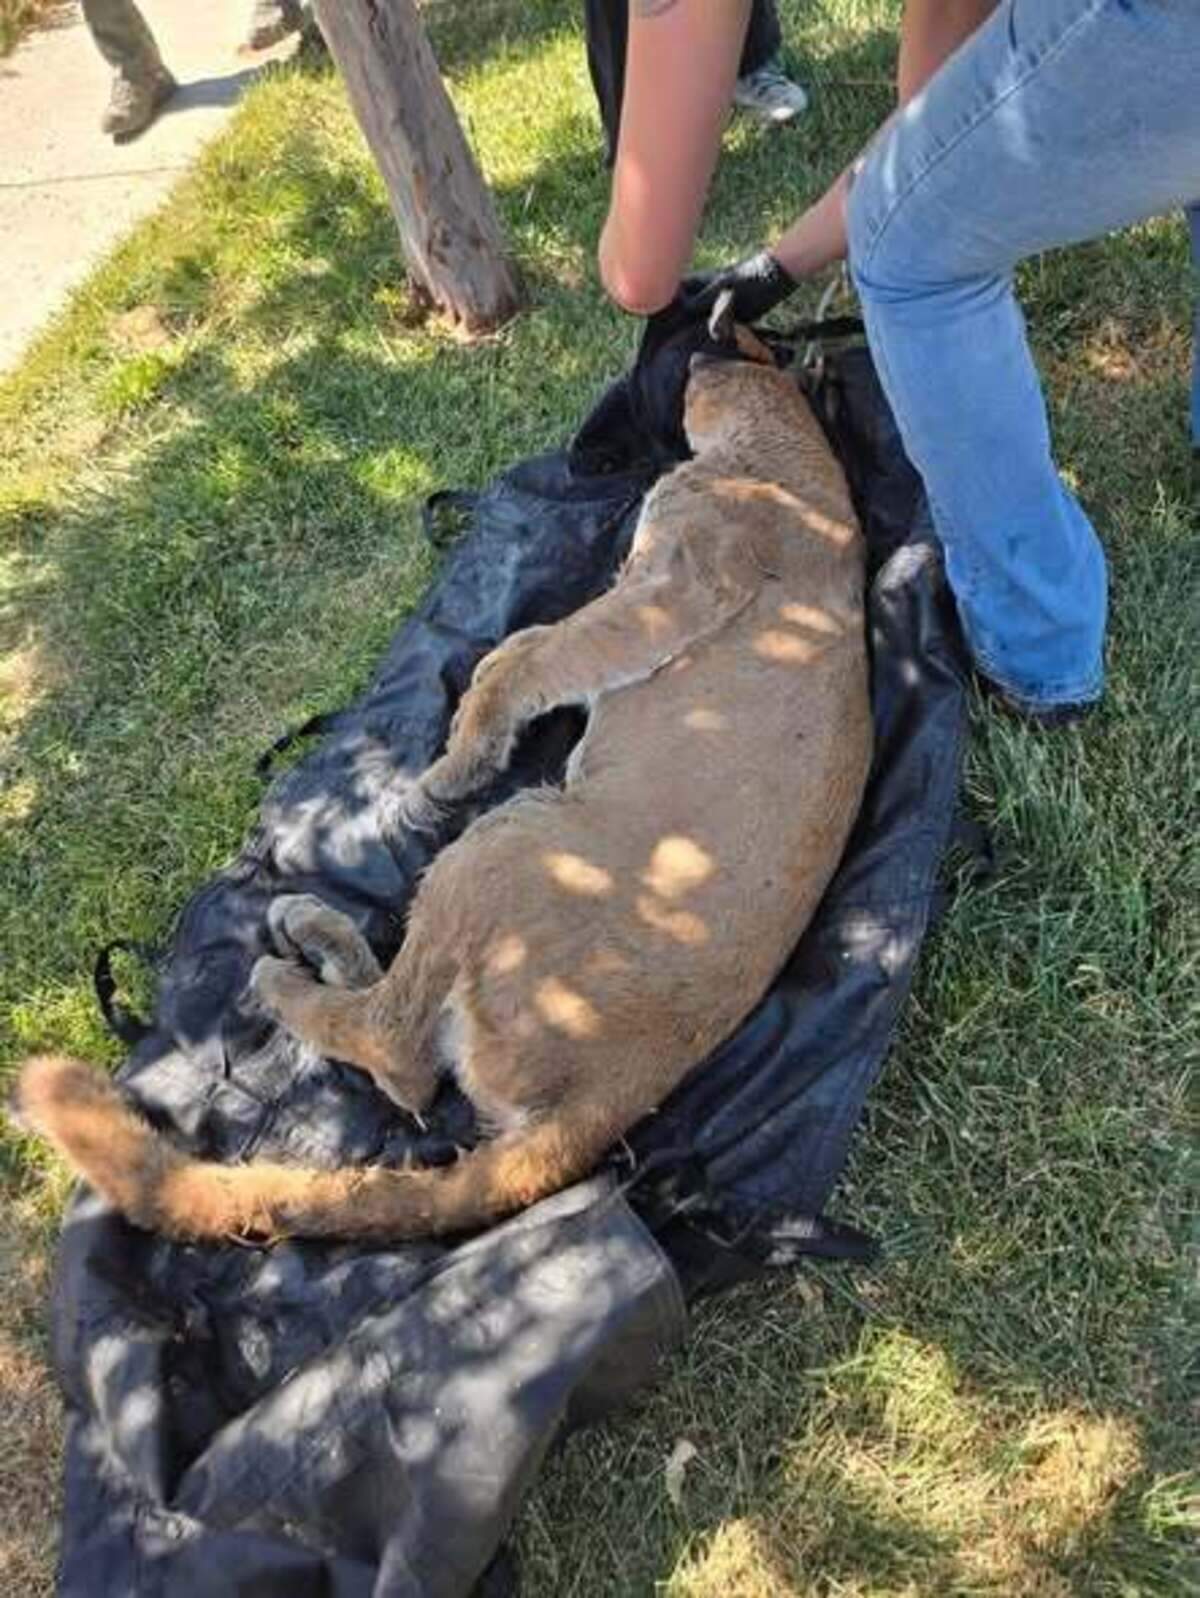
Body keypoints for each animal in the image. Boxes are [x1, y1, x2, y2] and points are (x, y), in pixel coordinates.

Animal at [15, 343, 872, 1244]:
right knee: (407, 1046)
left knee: (400, 1053)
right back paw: (316, 934)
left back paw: (287, 961)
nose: (697, 351)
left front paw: (452, 763)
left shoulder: (674, 585)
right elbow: (523, 648)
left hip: (499, 849)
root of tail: (608, 1101)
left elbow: (528, 654)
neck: (797, 465)